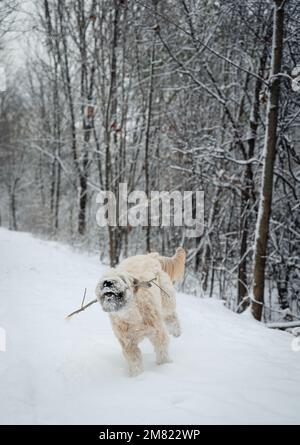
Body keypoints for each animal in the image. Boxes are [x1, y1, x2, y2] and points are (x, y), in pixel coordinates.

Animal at [96, 246, 185, 374]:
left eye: (122, 279)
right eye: (103, 278)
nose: (107, 282)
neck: (131, 313)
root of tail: (151, 256)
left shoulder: (158, 333)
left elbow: (162, 349)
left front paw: (165, 366)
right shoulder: (128, 344)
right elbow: (135, 361)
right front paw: (137, 376)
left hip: (166, 299)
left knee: (171, 316)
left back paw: (176, 331)